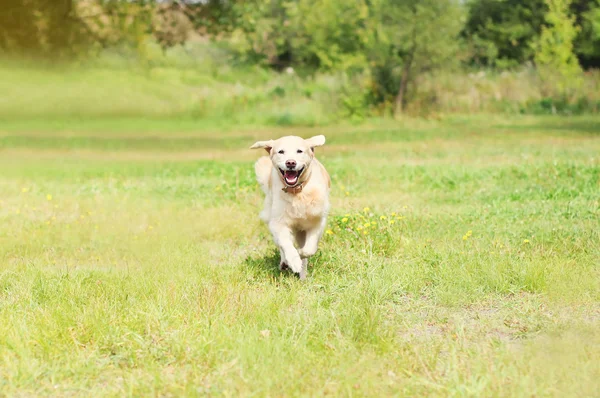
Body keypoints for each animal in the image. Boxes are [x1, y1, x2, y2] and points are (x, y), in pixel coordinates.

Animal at [250, 135, 330, 278]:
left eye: (299, 151)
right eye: (281, 151)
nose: (290, 163)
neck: (297, 192)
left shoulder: (317, 221)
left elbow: (309, 249)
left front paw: (301, 255)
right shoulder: (278, 222)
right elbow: (286, 244)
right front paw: (293, 261)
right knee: (281, 244)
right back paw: (285, 263)